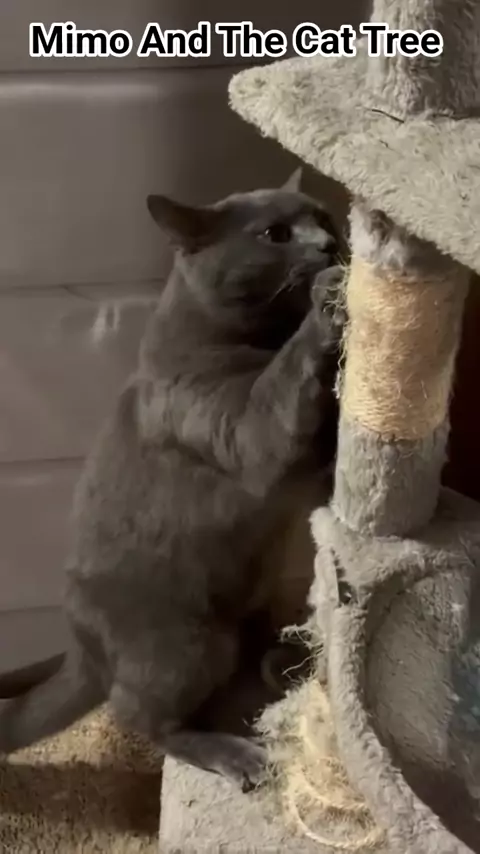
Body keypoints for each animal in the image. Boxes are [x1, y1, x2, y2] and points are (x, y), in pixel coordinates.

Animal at [0, 172, 345, 790]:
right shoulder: (238, 425)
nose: (329, 246)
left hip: (247, 600)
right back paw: (237, 753)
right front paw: (329, 298)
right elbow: (283, 391)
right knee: (141, 716)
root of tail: (83, 650)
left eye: (324, 217)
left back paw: (281, 664)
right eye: (275, 235)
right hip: (188, 641)